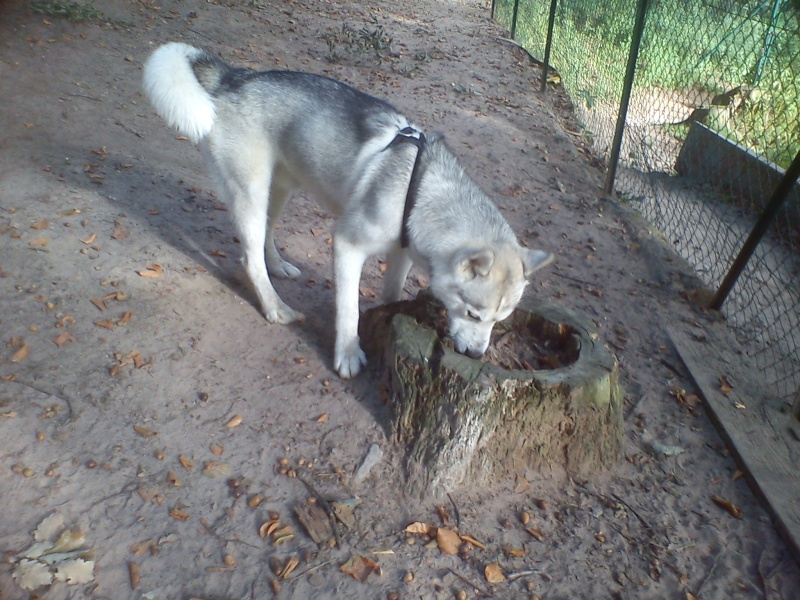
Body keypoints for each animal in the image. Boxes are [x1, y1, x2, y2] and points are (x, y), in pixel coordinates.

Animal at [144, 43, 552, 380]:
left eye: (501, 319)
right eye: (472, 314)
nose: (476, 355)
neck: (419, 189)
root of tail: (235, 76)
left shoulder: (401, 254)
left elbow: (392, 295)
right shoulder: (346, 245)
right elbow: (348, 309)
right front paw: (348, 354)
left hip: (280, 191)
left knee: (265, 239)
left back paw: (279, 265)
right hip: (252, 194)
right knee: (250, 259)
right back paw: (276, 307)